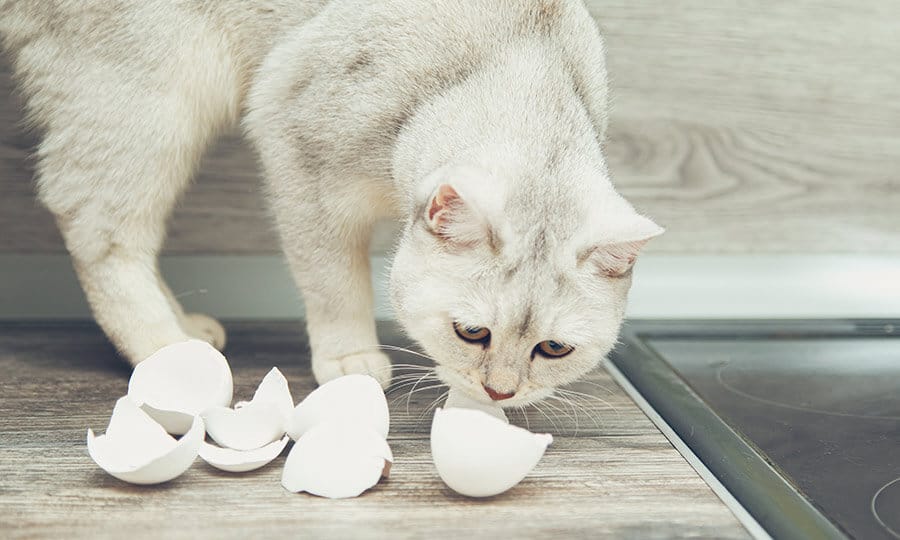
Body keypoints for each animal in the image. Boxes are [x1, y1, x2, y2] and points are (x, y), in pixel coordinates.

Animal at [0, 0, 660, 404]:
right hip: (148, 100)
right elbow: (332, 283)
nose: (501, 391)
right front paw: (349, 357)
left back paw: (186, 328)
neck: (512, 58)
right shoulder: (298, 155)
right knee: (94, 224)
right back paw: (167, 351)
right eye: (471, 332)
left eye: (554, 350)